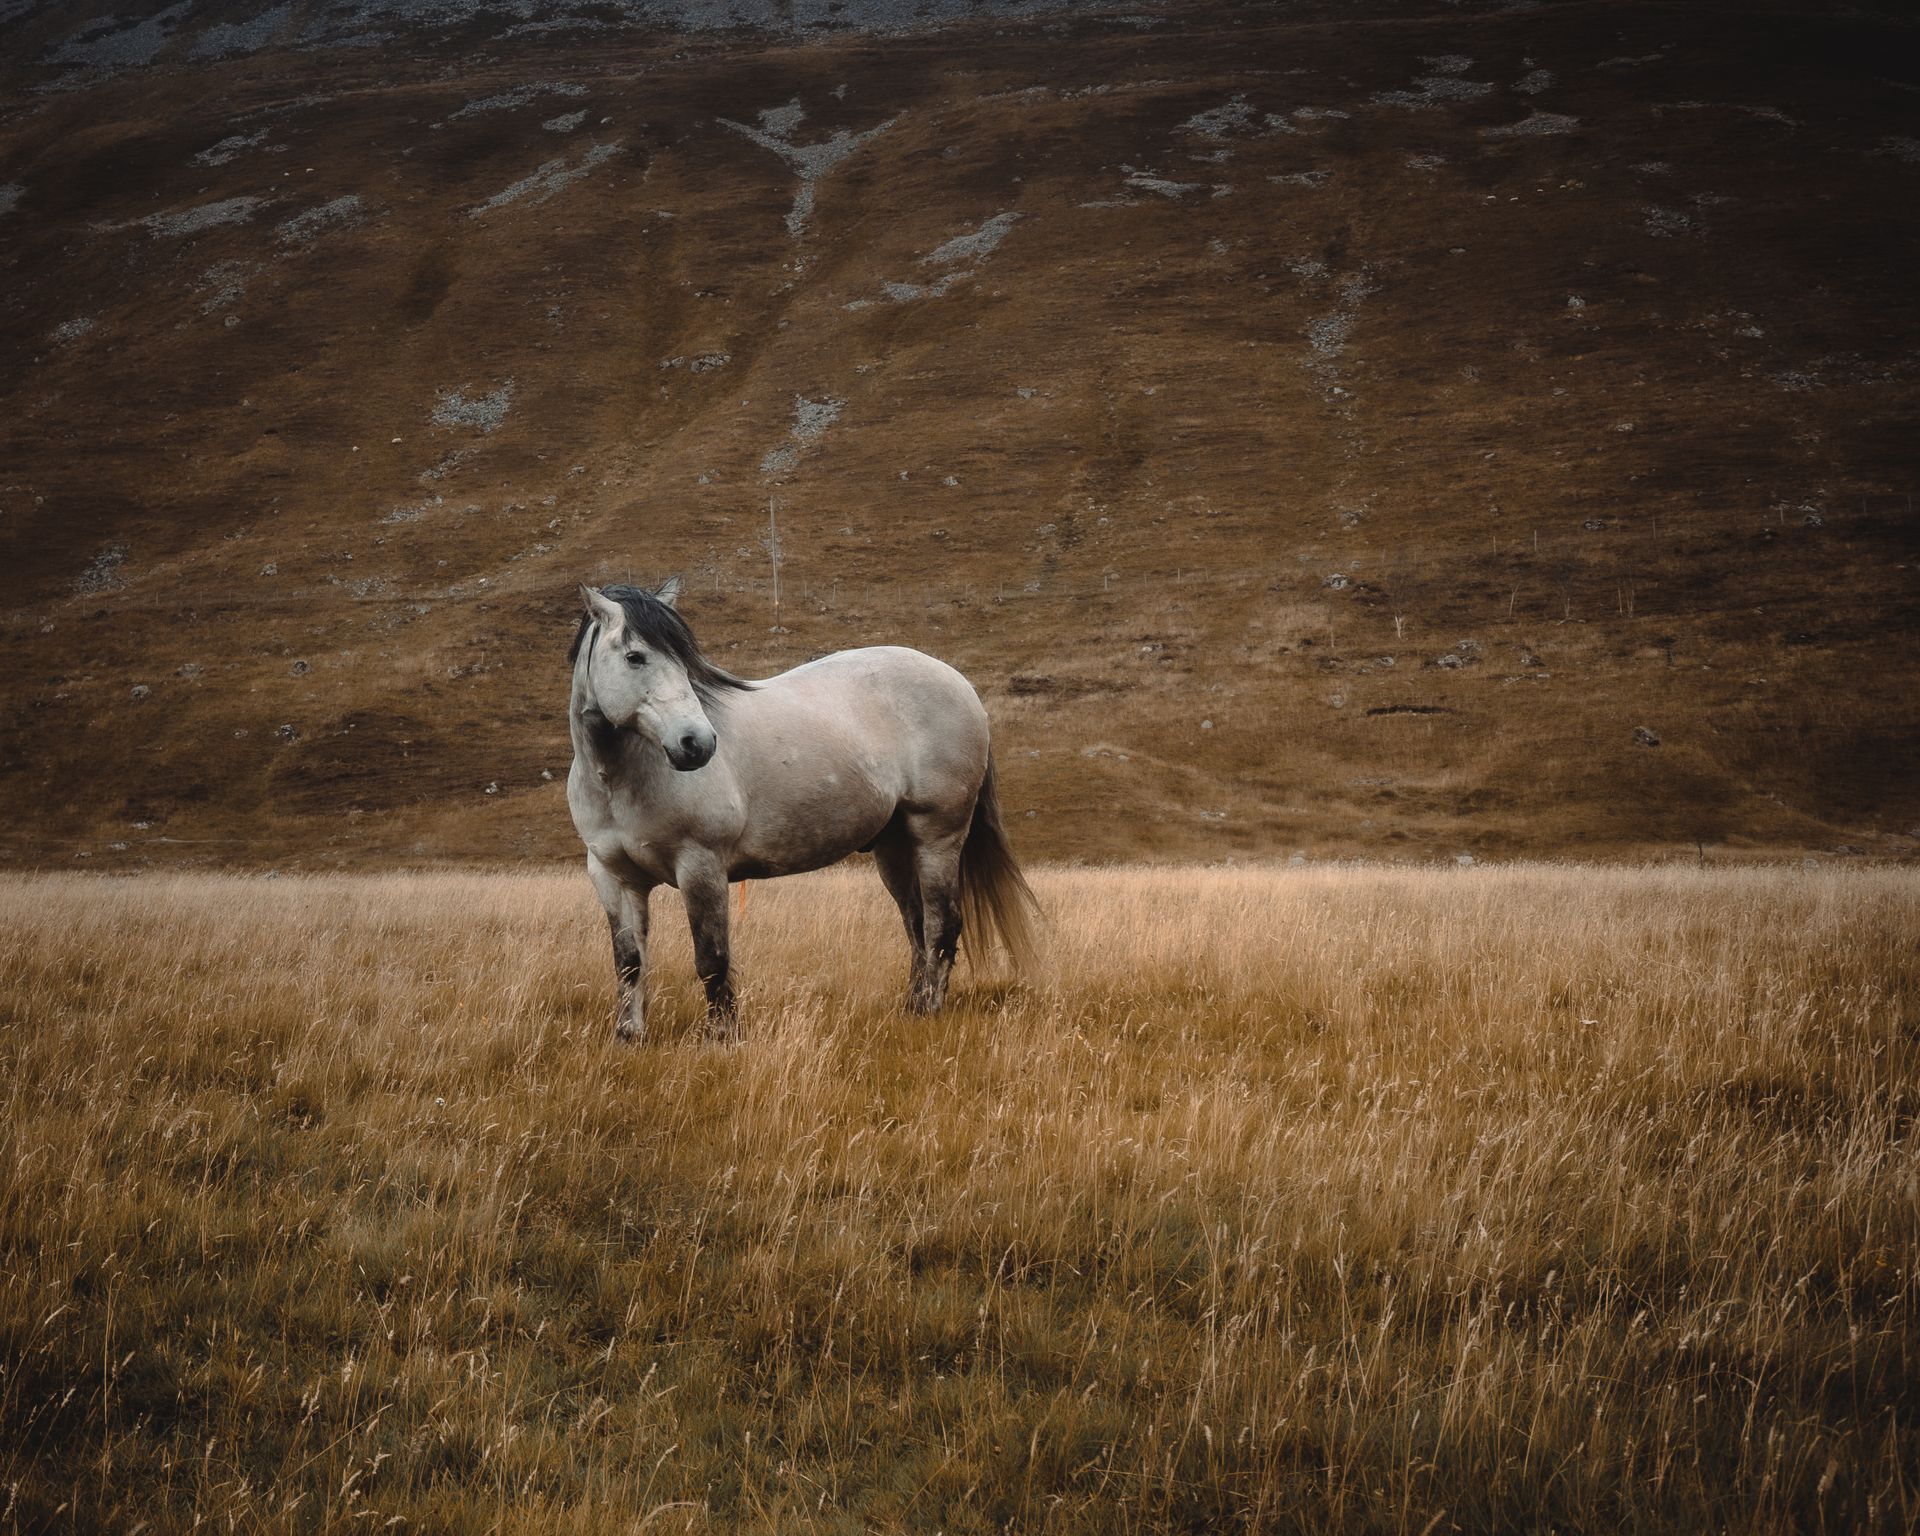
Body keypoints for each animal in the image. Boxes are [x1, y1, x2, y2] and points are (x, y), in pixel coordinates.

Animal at [566, 578, 1039, 1040]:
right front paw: (629, 1036)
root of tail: (960, 683)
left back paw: (929, 1011)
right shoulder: (613, 878)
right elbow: (629, 961)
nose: (697, 743)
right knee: (917, 925)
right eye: (635, 657)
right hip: (895, 848)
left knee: (942, 925)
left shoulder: (701, 867)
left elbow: (712, 958)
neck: (621, 781)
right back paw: (911, 1009)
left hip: (937, 838)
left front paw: (723, 1037)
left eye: (683, 663)